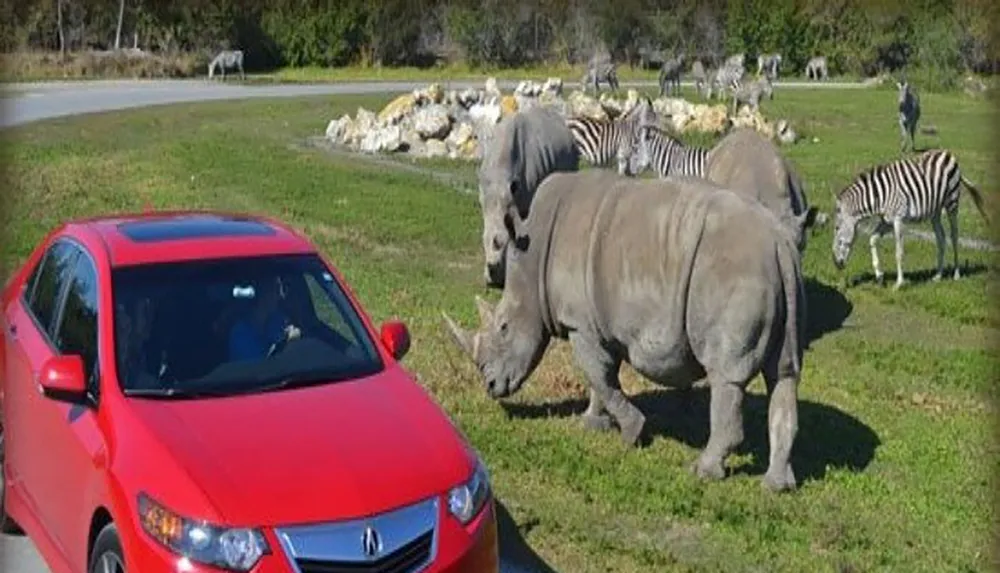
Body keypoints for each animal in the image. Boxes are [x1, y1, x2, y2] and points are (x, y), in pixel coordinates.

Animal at [828, 149, 992, 288]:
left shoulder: (898, 220)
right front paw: (879, 275)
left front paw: (899, 284)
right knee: (941, 238)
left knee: (954, 235)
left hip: (952, 203)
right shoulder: (887, 221)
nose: (835, 263)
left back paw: (956, 274)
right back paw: (938, 275)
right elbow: (872, 239)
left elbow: (899, 252)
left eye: (836, 228)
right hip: (935, 211)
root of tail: (948, 153)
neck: (879, 196)